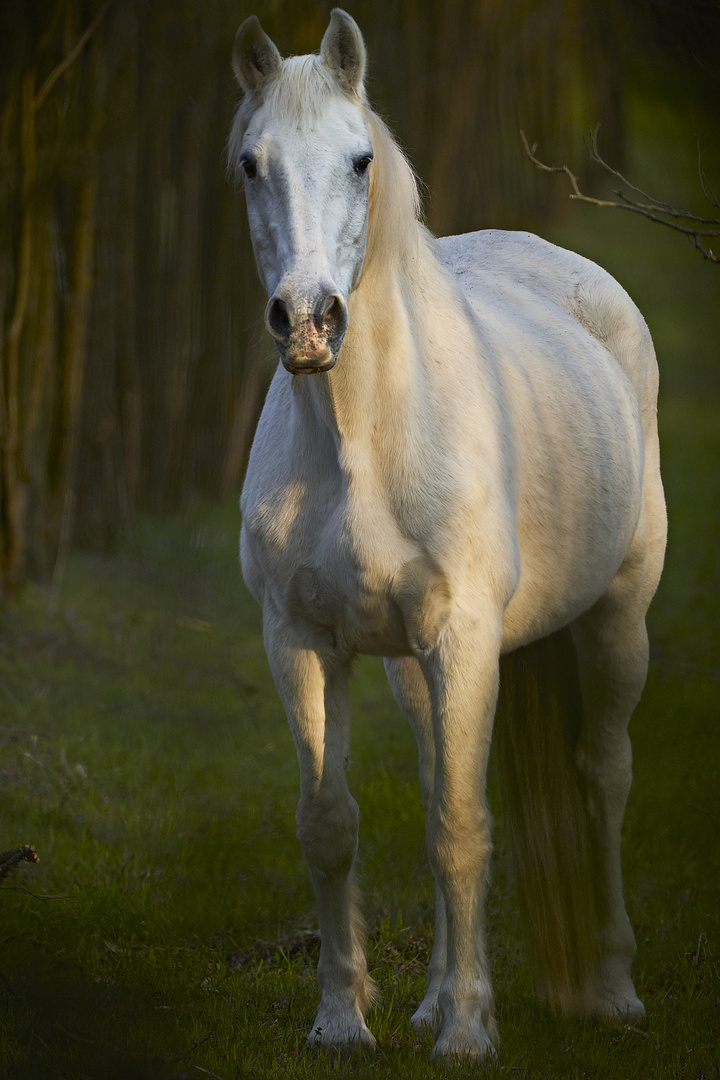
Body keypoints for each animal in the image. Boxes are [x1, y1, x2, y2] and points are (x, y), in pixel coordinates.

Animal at [227, 6, 669, 1054]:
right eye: (251, 165)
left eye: (358, 160)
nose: (308, 320)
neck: (362, 447)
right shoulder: (302, 642)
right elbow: (333, 824)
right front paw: (344, 1022)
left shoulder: (465, 638)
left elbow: (463, 831)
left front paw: (469, 1033)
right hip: (411, 668)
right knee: (438, 779)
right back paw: (430, 997)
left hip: (617, 619)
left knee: (604, 776)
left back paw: (613, 988)